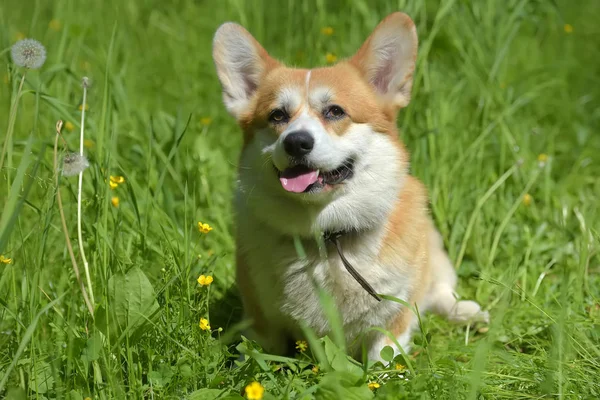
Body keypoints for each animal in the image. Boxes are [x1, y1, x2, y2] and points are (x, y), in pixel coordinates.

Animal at [211, 12, 488, 362]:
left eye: (335, 111)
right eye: (277, 116)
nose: (296, 142)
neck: (327, 236)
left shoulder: (392, 319)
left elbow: (384, 357)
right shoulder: (263, 322)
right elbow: (263, 355)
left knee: (439, 291)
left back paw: (466, 311)